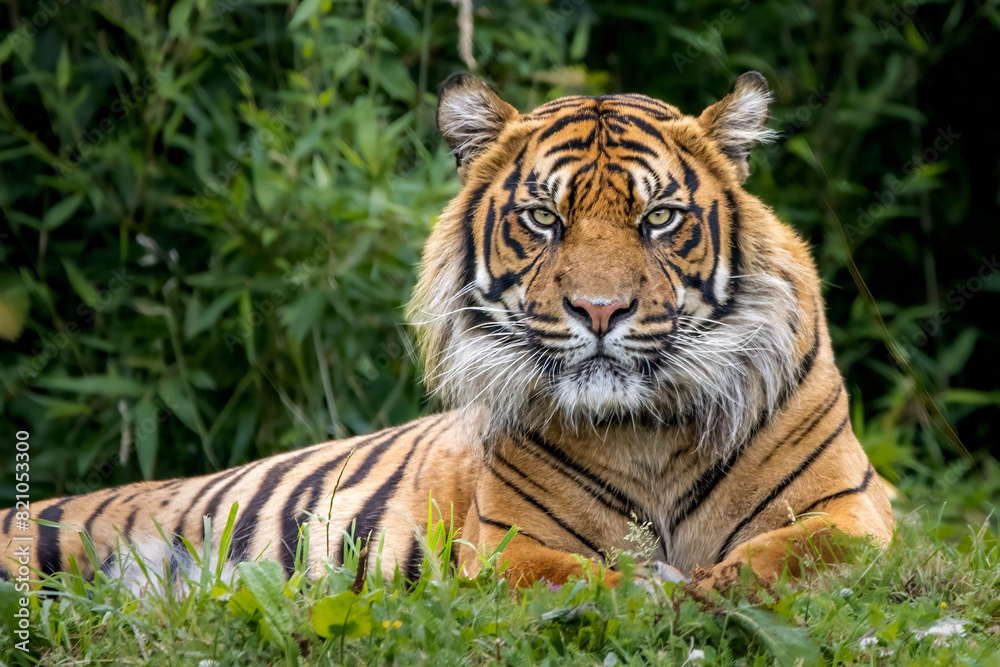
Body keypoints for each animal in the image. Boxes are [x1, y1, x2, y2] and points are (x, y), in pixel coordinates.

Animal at [2, 72, 895, 595]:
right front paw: (661, 588)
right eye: (545, 218)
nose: (600, 310)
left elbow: (791, 554)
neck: (646, 428)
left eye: (659, 219)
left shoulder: (855, 512)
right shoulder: (510, 544)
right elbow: (588, 581)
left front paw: (711, 584)